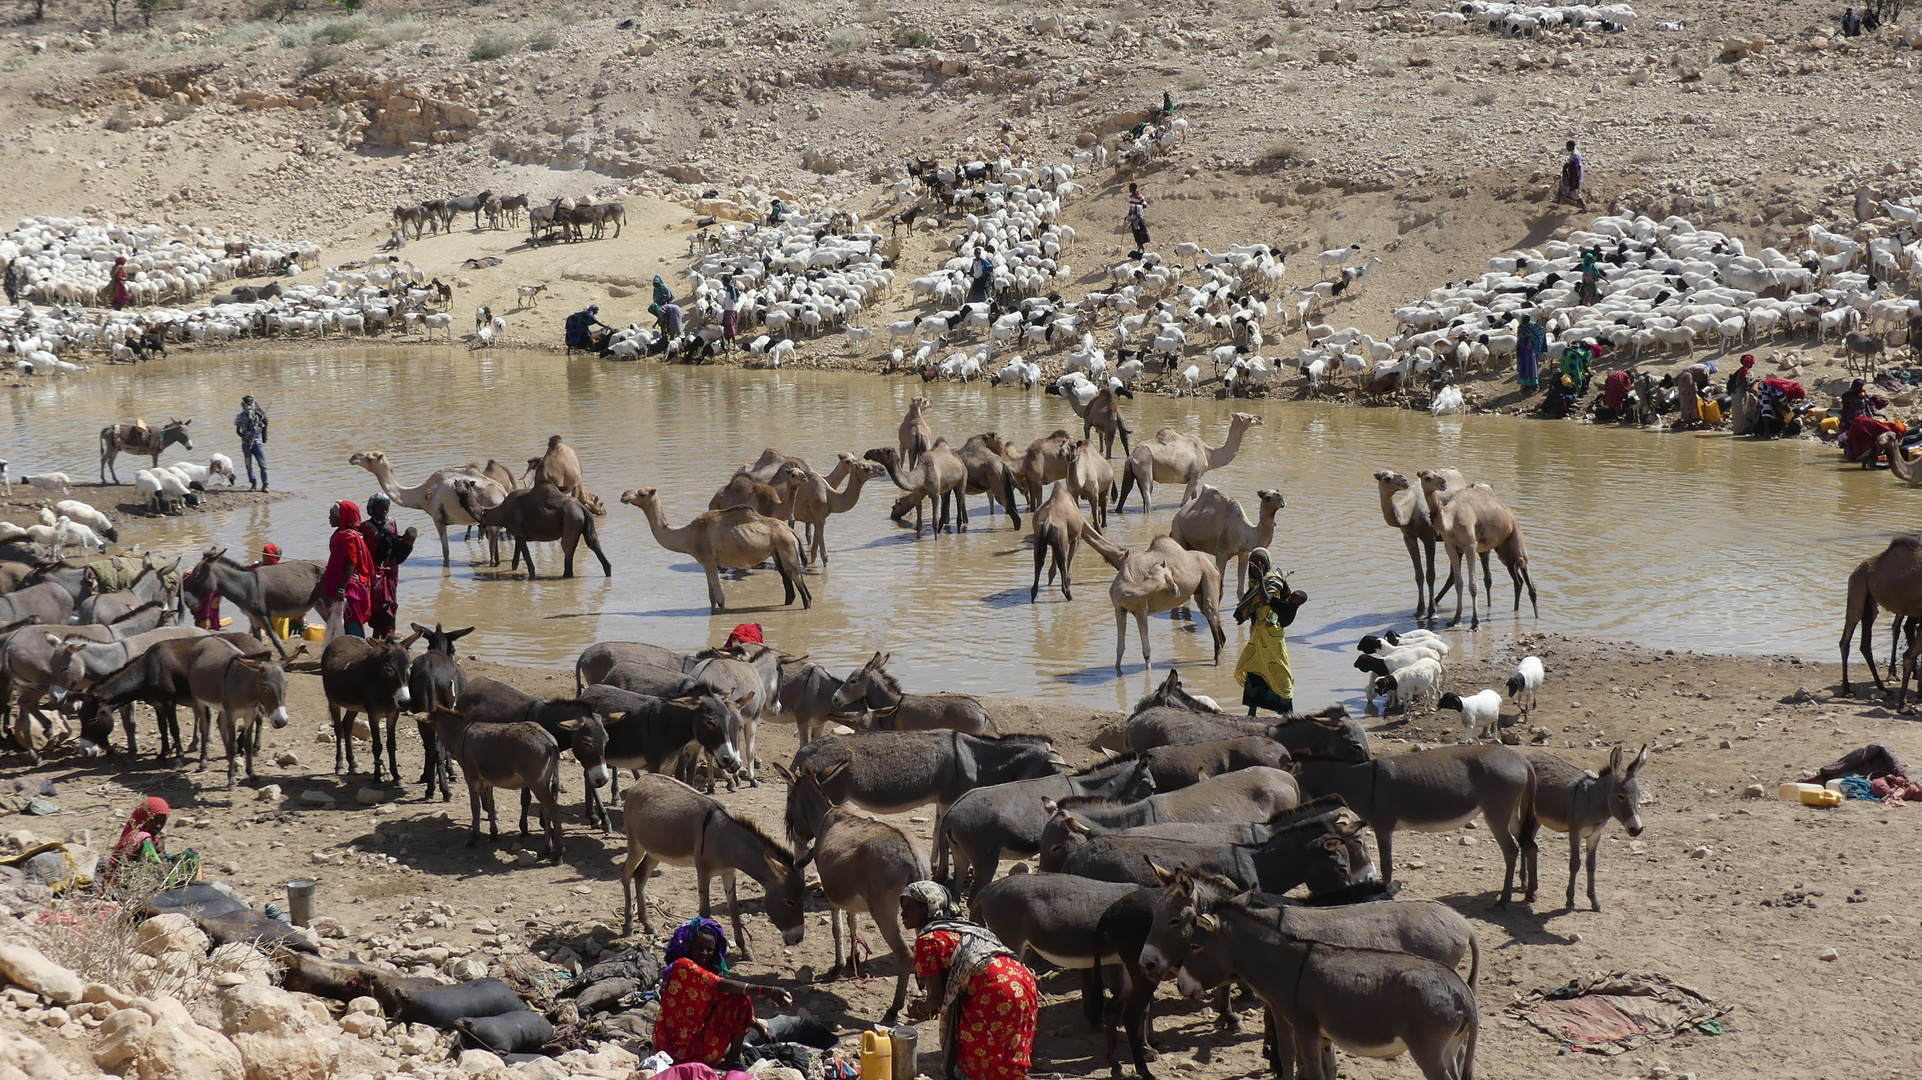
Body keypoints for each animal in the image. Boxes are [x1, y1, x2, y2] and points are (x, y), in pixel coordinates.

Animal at [449, 478, 607, 580]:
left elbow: (528, 562)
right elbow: (515, 561)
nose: (458, 490)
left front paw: (531, 577)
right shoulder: (518, 533)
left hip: (571, 520)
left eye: (467, 484)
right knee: (595, 545)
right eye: (456, 483)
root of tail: (582, 508)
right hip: (585, 524)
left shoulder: (518, 533)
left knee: (567, 549)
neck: (501, 512)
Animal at [622, 484, 811, 611]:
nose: (624, 495)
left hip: (786, 546)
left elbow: (720, 598)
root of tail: (792, 532)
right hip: (777, 551)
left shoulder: (710, 560)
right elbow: (711, 597)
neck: (688, 535)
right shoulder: (707, 563)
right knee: (785, 576)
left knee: (797, 578)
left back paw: (807, 605)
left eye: (642, 493)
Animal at [1114, 411, 1260, 511]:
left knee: (1125, 491)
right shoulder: (1195, 475)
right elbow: (1183, 503)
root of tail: (1132, 456)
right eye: (1249, 418)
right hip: (1145, 467)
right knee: (1147, 493)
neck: (1208, 454)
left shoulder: (1192, 477)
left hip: (1129, 470)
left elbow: (1194, 498)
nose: (1260, 419)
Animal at [1368, 466, 1453, 618]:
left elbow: (1430, 575)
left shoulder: (1429, 537)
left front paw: (1432, 612)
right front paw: (1419, 610)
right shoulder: (1408, 537)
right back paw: (1437, 600)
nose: (1404, 479)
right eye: (1387, 477)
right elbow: (1418, 575)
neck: (1409, 514)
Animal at [1422, 466, 1537, 626]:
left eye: (1437, 474)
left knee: (1524, 566)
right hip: (1503, 551)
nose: (1443, 482)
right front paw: (1456, 619)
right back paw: (1515, 610)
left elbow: (1473, 585)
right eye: (1426, 477)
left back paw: (1536, 616)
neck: (1451, 518)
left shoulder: (1470, 545)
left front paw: (1475, 623)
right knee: (1517, 580)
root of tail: (1508, 512)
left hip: (1516, 533)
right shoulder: (1450, 547)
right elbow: (1458, 583)